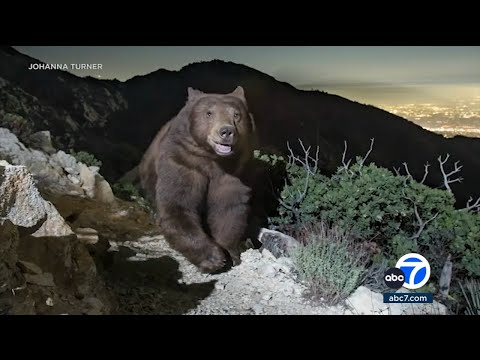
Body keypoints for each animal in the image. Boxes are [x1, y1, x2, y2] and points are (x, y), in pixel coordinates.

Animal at [139, 86, 256, 272]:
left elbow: (228, 210)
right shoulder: (183, 162)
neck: (213, 160)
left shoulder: (234, 173)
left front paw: (231, 252)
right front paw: (214, 258)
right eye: (209, 113)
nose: (226, 131)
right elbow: (178, 206)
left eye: (237, 115)